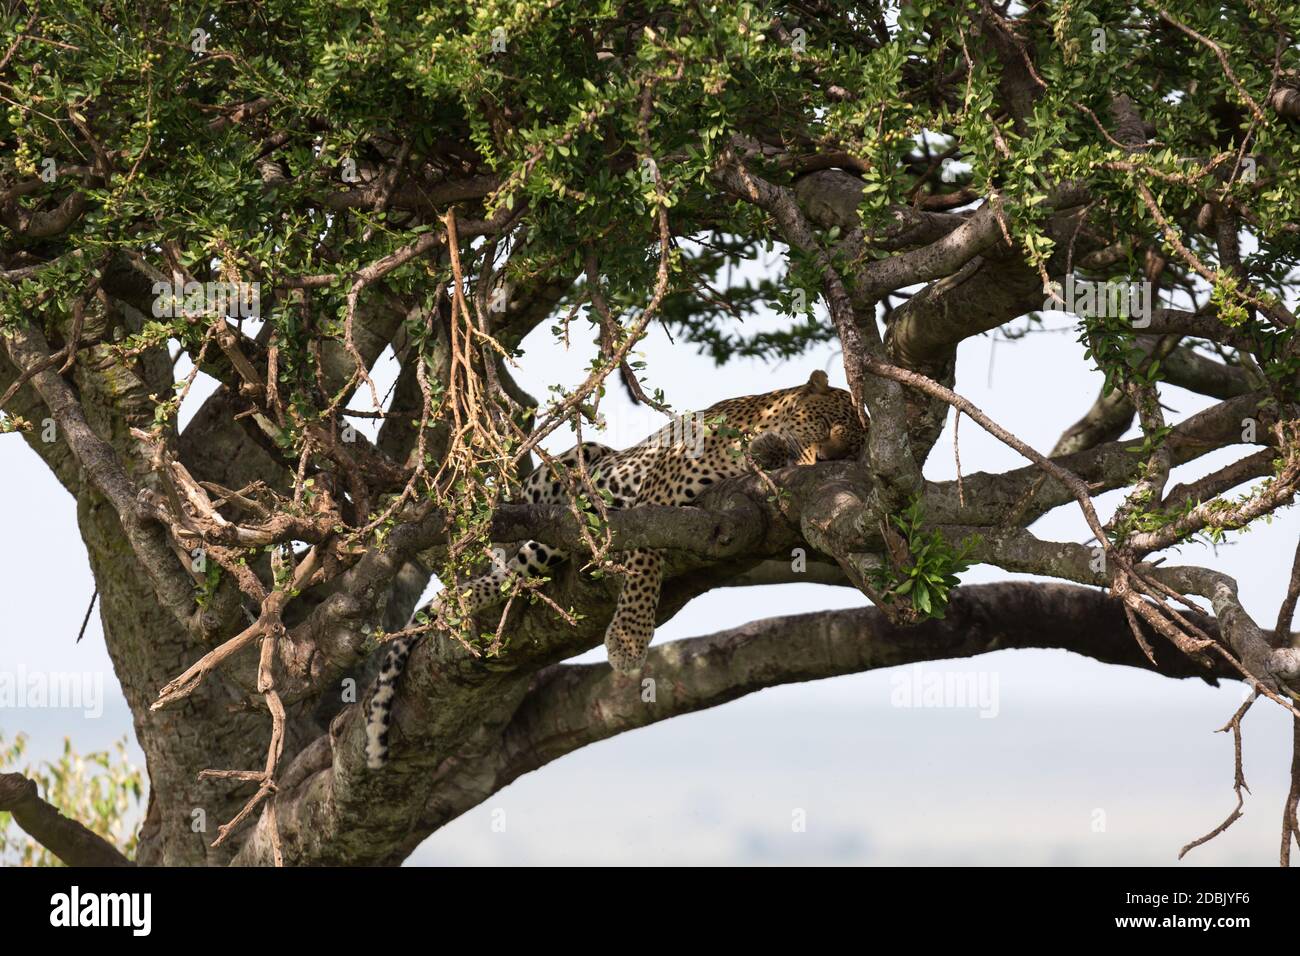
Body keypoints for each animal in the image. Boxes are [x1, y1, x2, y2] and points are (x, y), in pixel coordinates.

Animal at [365, 370, 866, 769]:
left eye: (852, 453)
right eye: (826, 424)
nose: (827, 460)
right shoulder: (657, 497)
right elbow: (645, 566)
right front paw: (628, 640)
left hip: (550, 545)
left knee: (513, 574)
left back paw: (462, 601)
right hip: (581, 459)